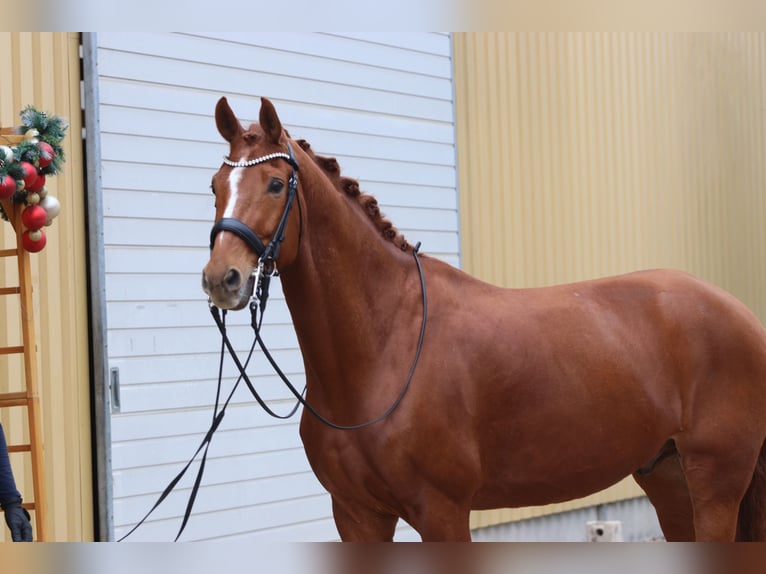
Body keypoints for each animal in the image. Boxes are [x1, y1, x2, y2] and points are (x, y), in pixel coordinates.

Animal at [202, 97, 766, 544]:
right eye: (214, 185)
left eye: (276, 184)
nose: (221, 279)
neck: (386, 348)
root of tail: (740, 313)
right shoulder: (357, 517)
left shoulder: (443, 513)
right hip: (668, 480)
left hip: (715, 483)